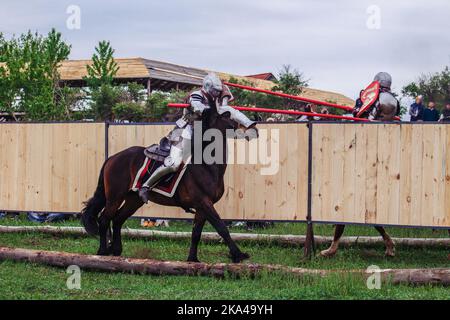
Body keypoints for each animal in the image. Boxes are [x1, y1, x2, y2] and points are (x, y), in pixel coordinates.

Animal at [81, 107, 256, 262]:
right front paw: (238, 255)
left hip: (133, 200)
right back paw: (102, 251)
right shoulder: (205, 203)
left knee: (117, 220)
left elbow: (196, 233)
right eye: (227, 120)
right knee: (104, 219)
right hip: (114, 197)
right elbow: (221, 228)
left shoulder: (202, 208)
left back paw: (116, 250)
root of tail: (112, 158)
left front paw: (192, 259)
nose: (247, 129)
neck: (206, 166)